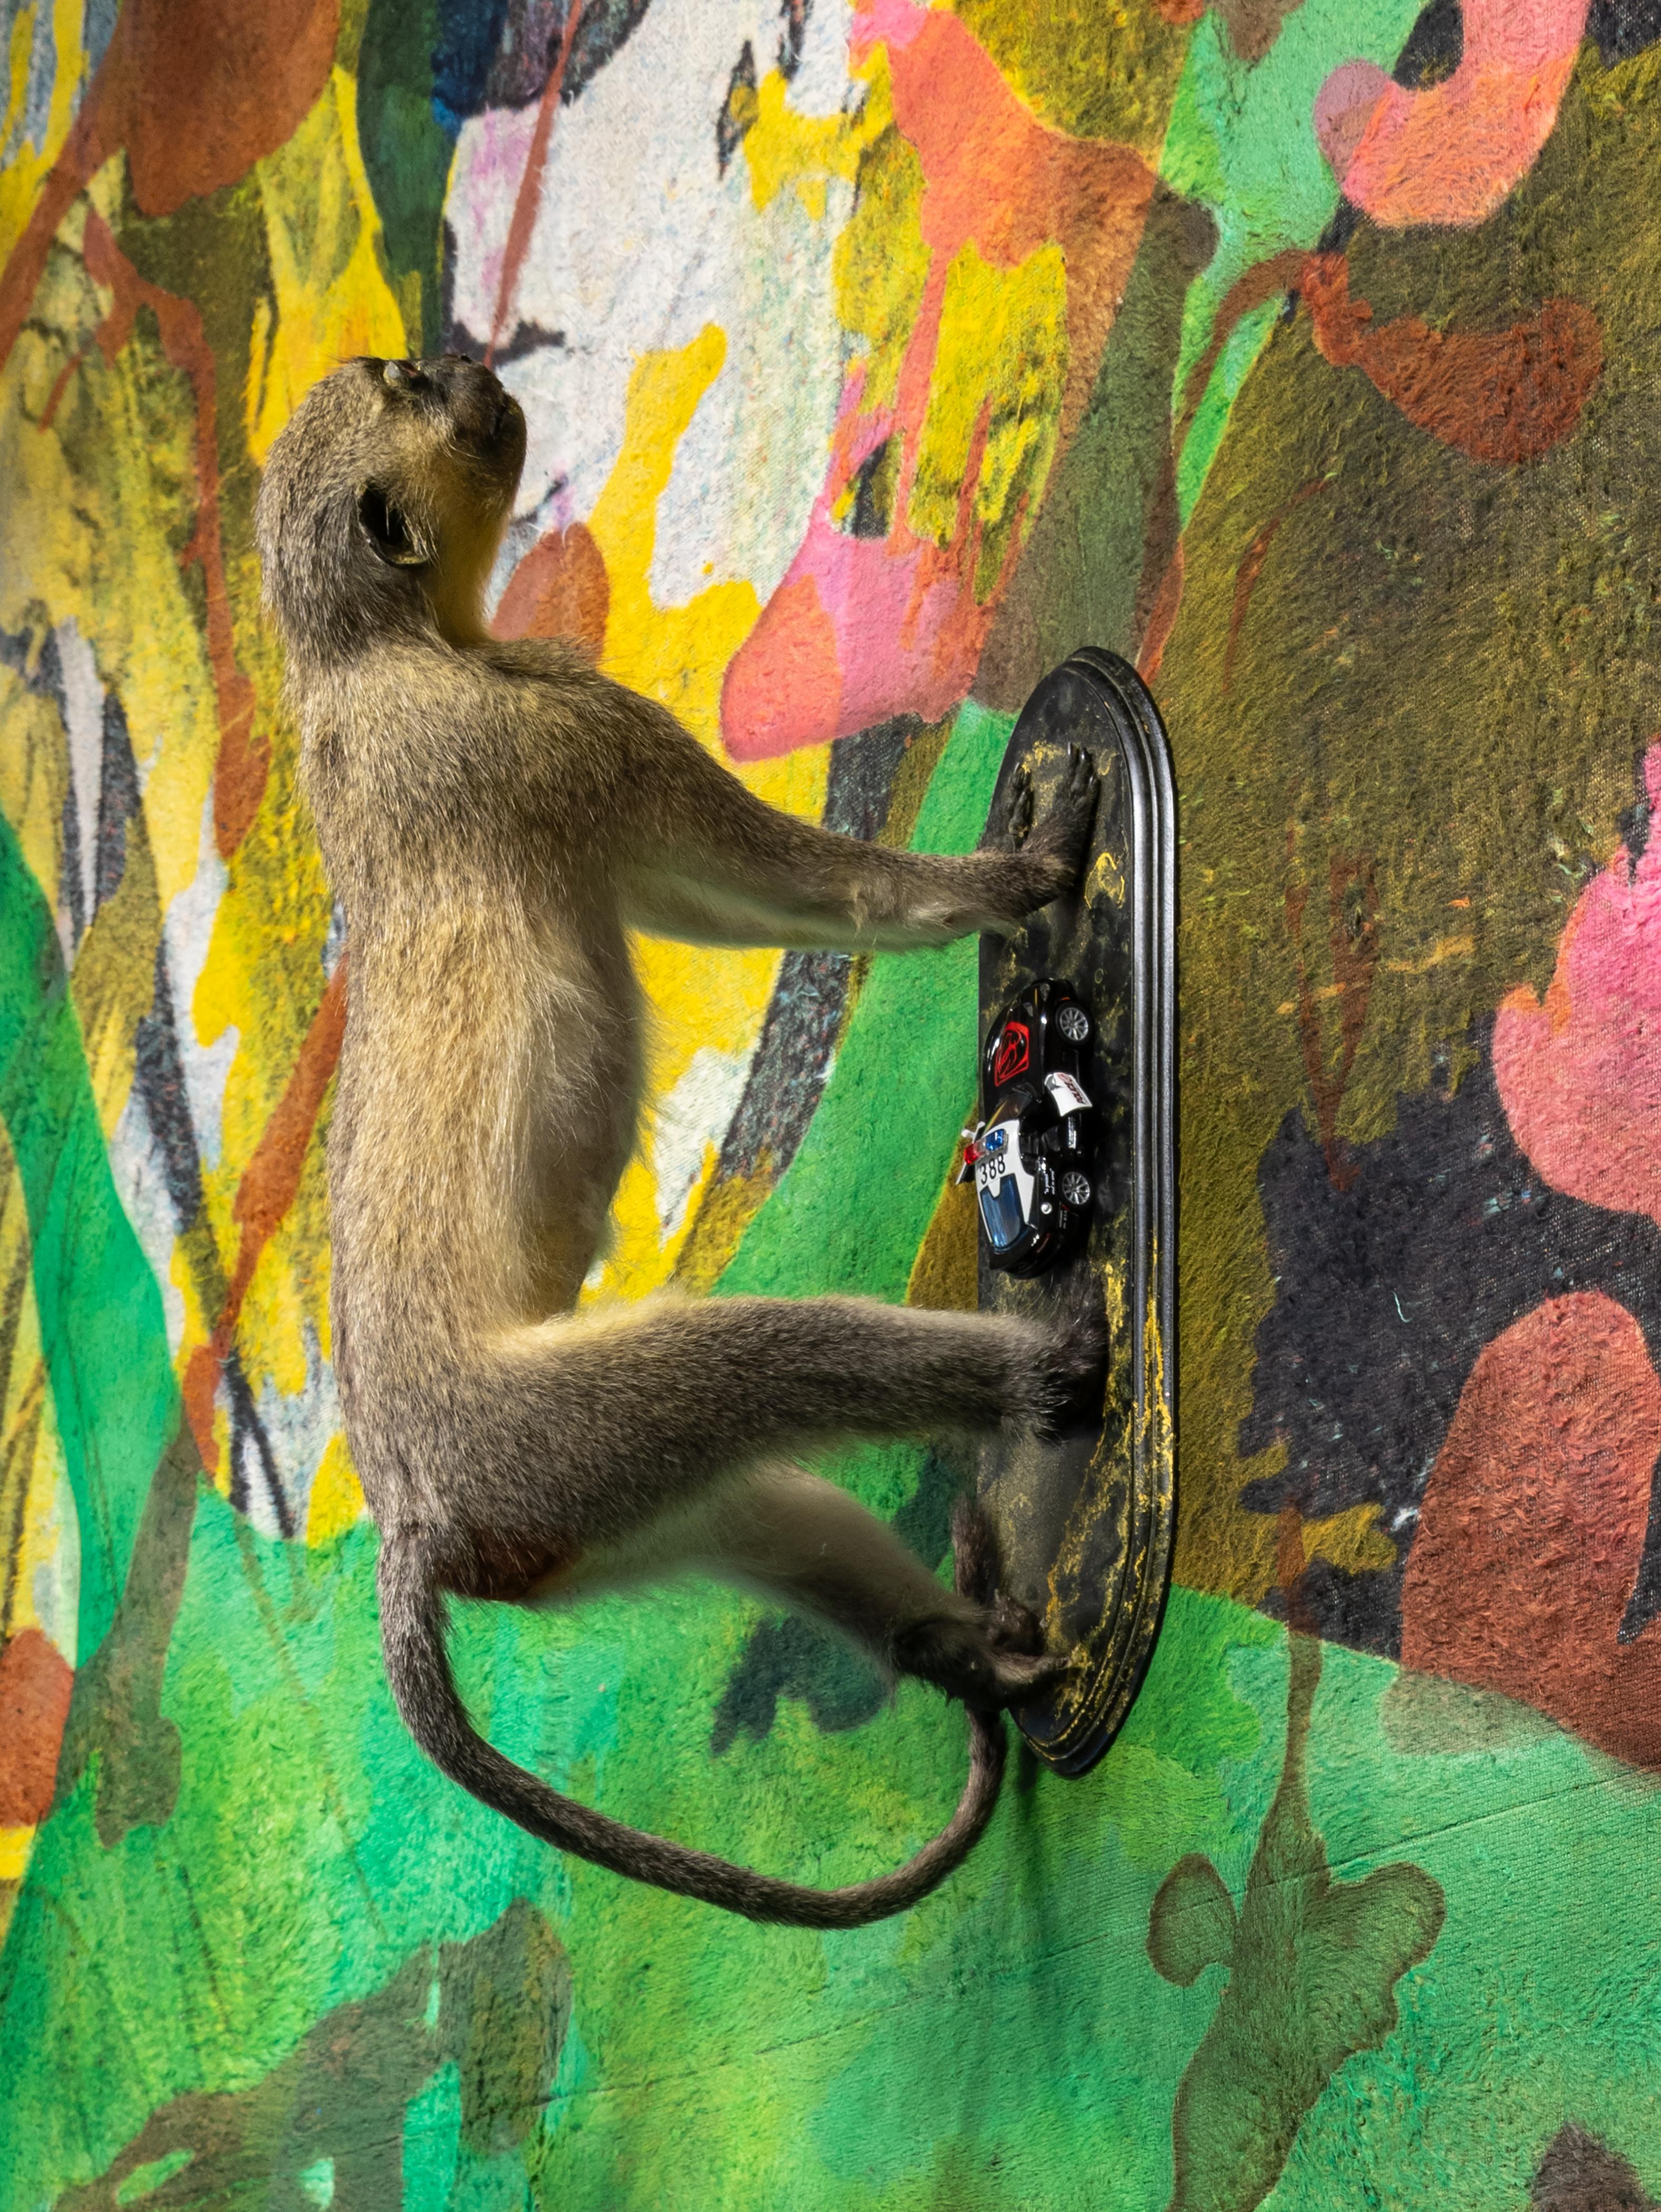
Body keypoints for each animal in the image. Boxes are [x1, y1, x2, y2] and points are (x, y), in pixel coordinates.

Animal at [254, 353, 1105, 1928]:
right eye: (412, 388)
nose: (472, 367)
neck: (371, 655)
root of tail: (408, 1519)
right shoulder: (560, 725)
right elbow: (781, 881)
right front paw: (1019, 873)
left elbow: (709, 903)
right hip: (530, 1445)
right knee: (740, 1370)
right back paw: (1034, 1375)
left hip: (566, 1523)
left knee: (740, 1498)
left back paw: (957, 1648)